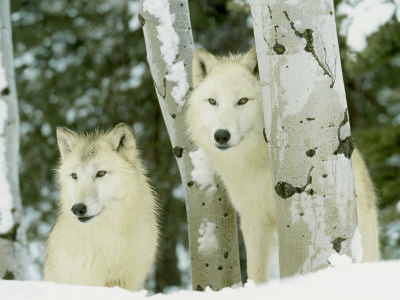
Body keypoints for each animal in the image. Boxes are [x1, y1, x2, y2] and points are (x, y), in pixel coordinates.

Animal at [186, 48, 380, 282]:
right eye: (212, 101)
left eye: (242, 100)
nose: (221, 135)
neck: (256, 163)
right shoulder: (254, 218)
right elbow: (255, 271)